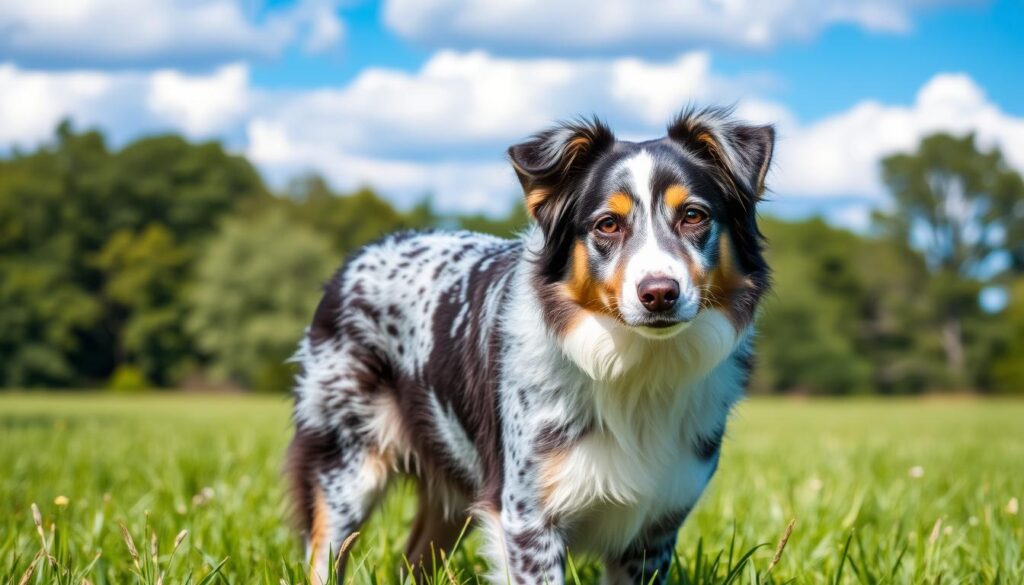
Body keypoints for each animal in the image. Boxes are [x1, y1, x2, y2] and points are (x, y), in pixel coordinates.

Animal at [284, 107, 770, 581]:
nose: (659, 293)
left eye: (693, 216)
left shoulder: (652, 531)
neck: (634, 365)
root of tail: (359, 256)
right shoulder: (527, 518)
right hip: (344, 468)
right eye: (607, 224)